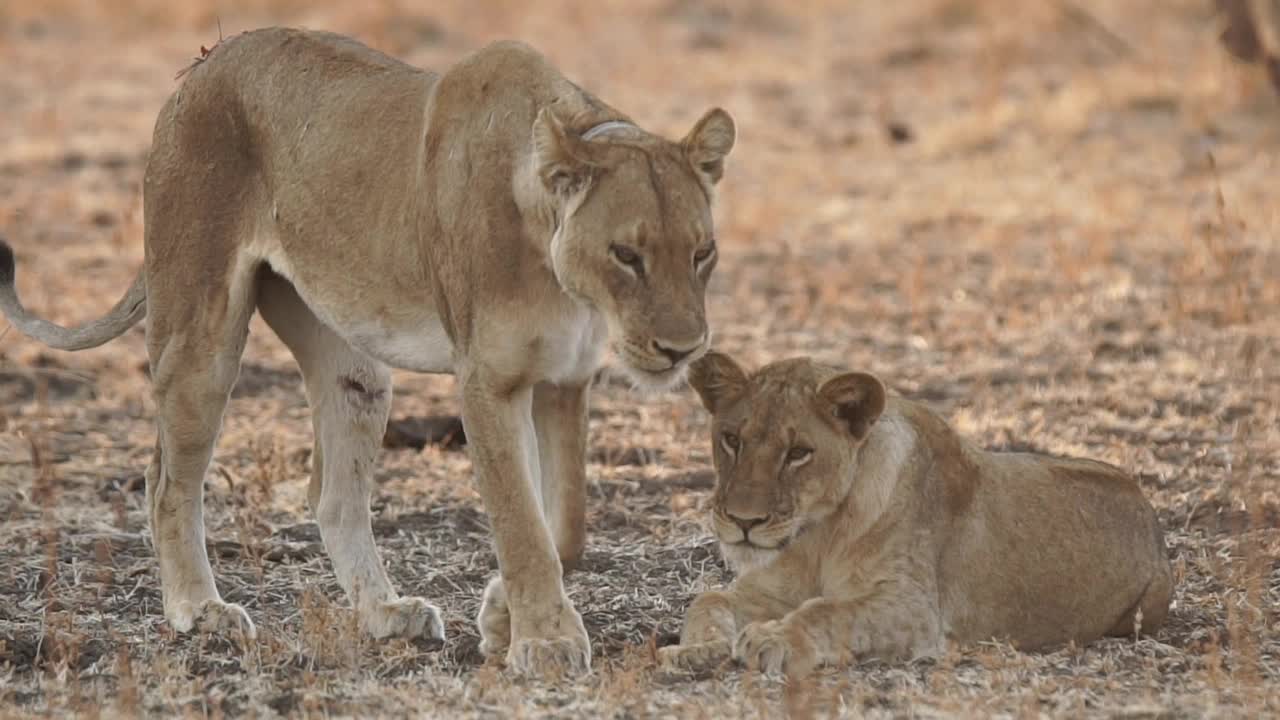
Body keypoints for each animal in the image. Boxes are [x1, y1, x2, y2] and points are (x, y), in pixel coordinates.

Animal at [665, 351, 1172, 676]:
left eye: (798, 453)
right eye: (732, 439)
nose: (743, 522)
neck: (817, 536)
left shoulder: (914, 607)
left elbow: (826, 610)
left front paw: (773, 640)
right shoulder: (769, 588)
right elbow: (708, 599)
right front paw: (699, 651)